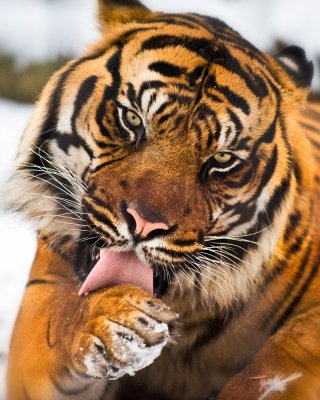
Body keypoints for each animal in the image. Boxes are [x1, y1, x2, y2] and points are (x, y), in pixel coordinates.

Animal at [5, 0, 320, 398]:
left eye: (222, 159)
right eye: (131, 119)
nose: (144, 224)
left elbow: (284, 355)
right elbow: (58, 321)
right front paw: (116, 321)